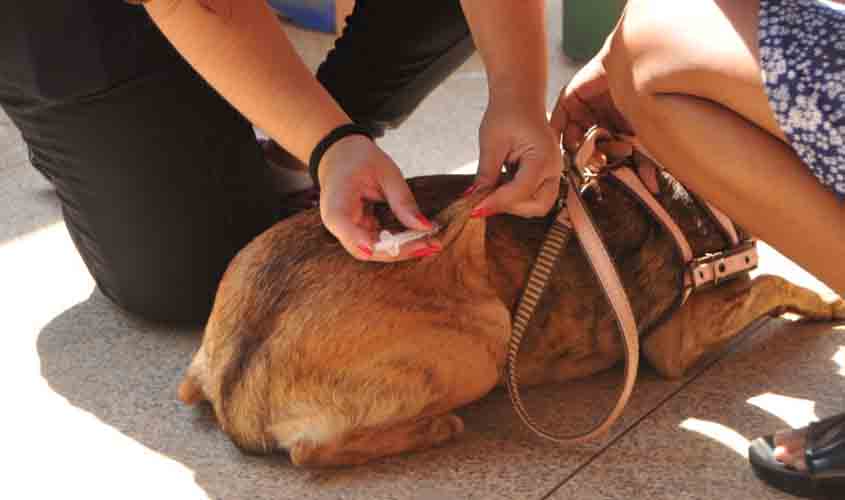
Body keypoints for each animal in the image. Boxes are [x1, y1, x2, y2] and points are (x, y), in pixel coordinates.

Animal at [178, 173, 844, 468]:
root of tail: (234, 385)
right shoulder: (676, 340)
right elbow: (774, 283)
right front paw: (829, 302)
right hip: (487, 338)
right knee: (307, 453)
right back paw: (434, 429)